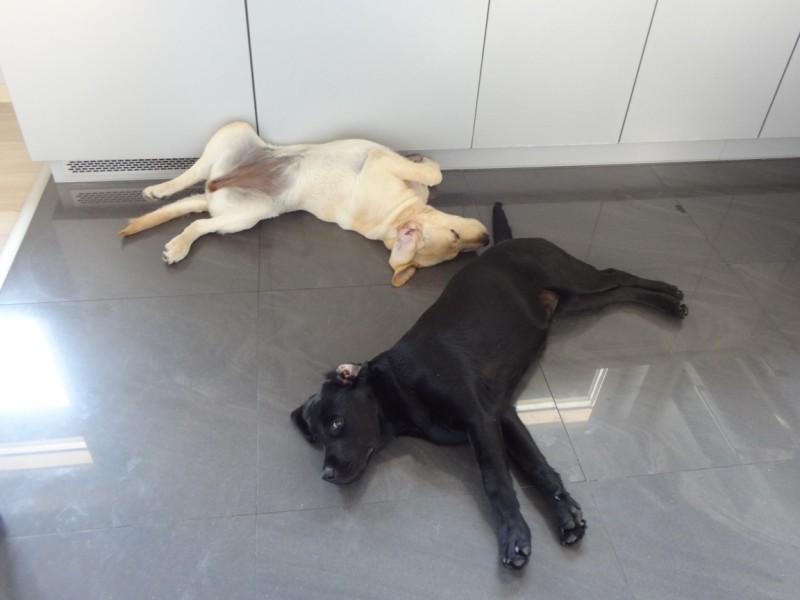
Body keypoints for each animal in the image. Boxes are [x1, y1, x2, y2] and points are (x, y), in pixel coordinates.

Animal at [118, 122, 489, 286]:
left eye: (458, 253)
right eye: (456, 235)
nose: (486, 240)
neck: (396, 219)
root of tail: (212, 191)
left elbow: (429, 175)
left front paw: (421, 159)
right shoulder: (380, 162)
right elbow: (434, 174)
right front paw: (423, 159)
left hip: (248, 213)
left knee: (199, 215)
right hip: (236, 132)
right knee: (190, 180)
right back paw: (160, 195)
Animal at [291, 202, 688, 568]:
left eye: (337, 424)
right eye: (317, 439)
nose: (326, 474)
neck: (401, 387)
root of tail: (509, 242)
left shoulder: (482, 419)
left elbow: (496, 482)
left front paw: (515, 537)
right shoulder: (502, 415)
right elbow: (536, 467)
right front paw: (565, 516)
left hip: (574, 278)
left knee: (616, 274)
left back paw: (669, 295)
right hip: (575, 303)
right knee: (618, 293)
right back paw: (665, 302)